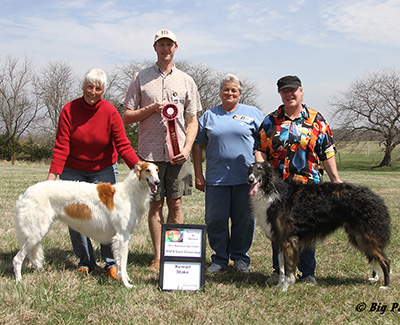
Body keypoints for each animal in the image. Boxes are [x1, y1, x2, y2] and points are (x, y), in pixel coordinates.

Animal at [12, 161, 159, 288]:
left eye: (157, 170)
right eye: (147, 170)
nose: (157, 182)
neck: (130, 193)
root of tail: (26, 193)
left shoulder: (122, 238)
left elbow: (120, 263)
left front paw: (125, 279)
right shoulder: (121, 237)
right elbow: (122, 264)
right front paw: (127, 284)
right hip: (36, 233)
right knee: (17, 259)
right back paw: (19, 281)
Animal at [247, 162, 390, 292]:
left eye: (260, 168)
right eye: (250, 168)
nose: (250, 180)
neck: (274, 192)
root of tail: (376, 198)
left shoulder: (288, 240)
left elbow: (288, 270)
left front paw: (285, 287)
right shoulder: (279, 239)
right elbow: (282, 269)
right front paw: (278, 286)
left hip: (366, 236)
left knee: (385, 260)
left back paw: (386, 285)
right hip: (359, 236)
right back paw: (376, 279)